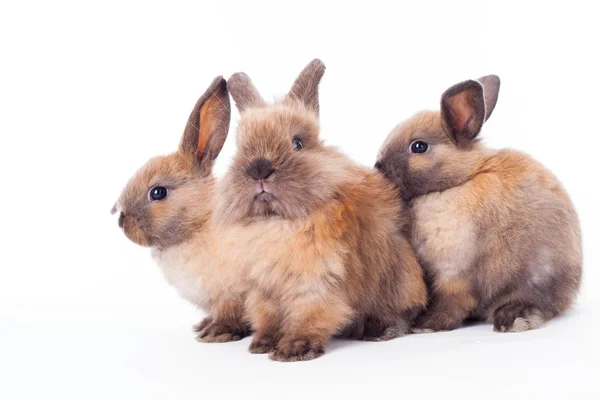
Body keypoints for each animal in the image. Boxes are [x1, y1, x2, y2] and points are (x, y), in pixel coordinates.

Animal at [111, 76, 250, 342]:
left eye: (158, 192)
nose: (121, 220)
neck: (199, 224)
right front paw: (203, 326)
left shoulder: (231, 295)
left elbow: (231, 315)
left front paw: (215, 333)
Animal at [218, 59, 428, 362]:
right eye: (241, 147)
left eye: (297, 143)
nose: (259, 168)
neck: (276, 221)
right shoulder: (264, 290)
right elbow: (268, 318)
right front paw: (262, 344)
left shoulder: (314, 281)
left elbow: (310, 314)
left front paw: (293, 350)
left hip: (399, 280)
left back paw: (379, 330)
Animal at [376, 75, 580, 334]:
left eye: (419, 146)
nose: (378, 167)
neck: (457, 182)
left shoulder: (454, 274)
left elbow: (452, 303)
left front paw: (425, 326)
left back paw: (512, 319)